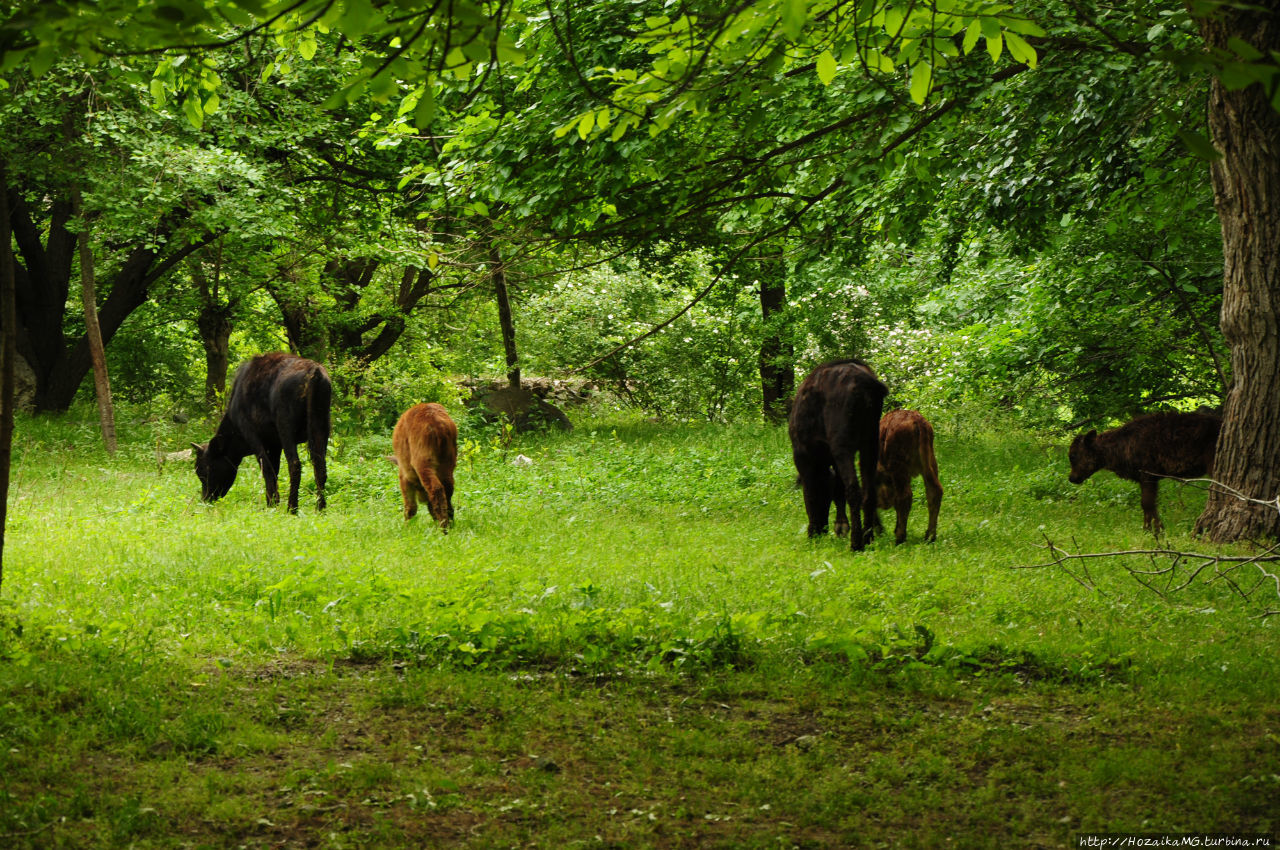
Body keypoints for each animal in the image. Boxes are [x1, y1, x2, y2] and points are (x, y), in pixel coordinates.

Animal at [192, 350, 330, 512]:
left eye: (204, 471)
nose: (205, 499)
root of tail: (315, 372)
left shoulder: (254, 437)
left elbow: (267, 471)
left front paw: (271, 504)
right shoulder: (274, 444)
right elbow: (275, 471)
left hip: (286, 428)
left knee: (295, 465)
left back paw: (292, 508)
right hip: (321, 426)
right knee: (320, 467)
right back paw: (320, 508)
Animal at [783, 358, 885, 550]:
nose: (819, 530)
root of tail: (868, 387)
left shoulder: (803, 456)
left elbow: (813, 491)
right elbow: (839, 488)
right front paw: (841, 525)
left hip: (842, 442)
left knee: (854, 488)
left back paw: (856, 543)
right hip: (870, 441)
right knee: (868, 490)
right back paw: (869, 537)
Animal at [875, 409, 947, 545]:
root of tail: (918, 421)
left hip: (899, 468)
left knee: (905, 496)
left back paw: (900, 537)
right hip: (930, 464)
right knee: (934, 491)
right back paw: (930, 536)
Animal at [1064, 409, 1223, 532]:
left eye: (1073, 455)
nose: (1072, 478)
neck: (1119, 447)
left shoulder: (1148, 474)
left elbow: (1146, 503)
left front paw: (1154, 530)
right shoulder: (1146, 478)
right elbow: (1149, 504)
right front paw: (1153, 529)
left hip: (1212, 465)